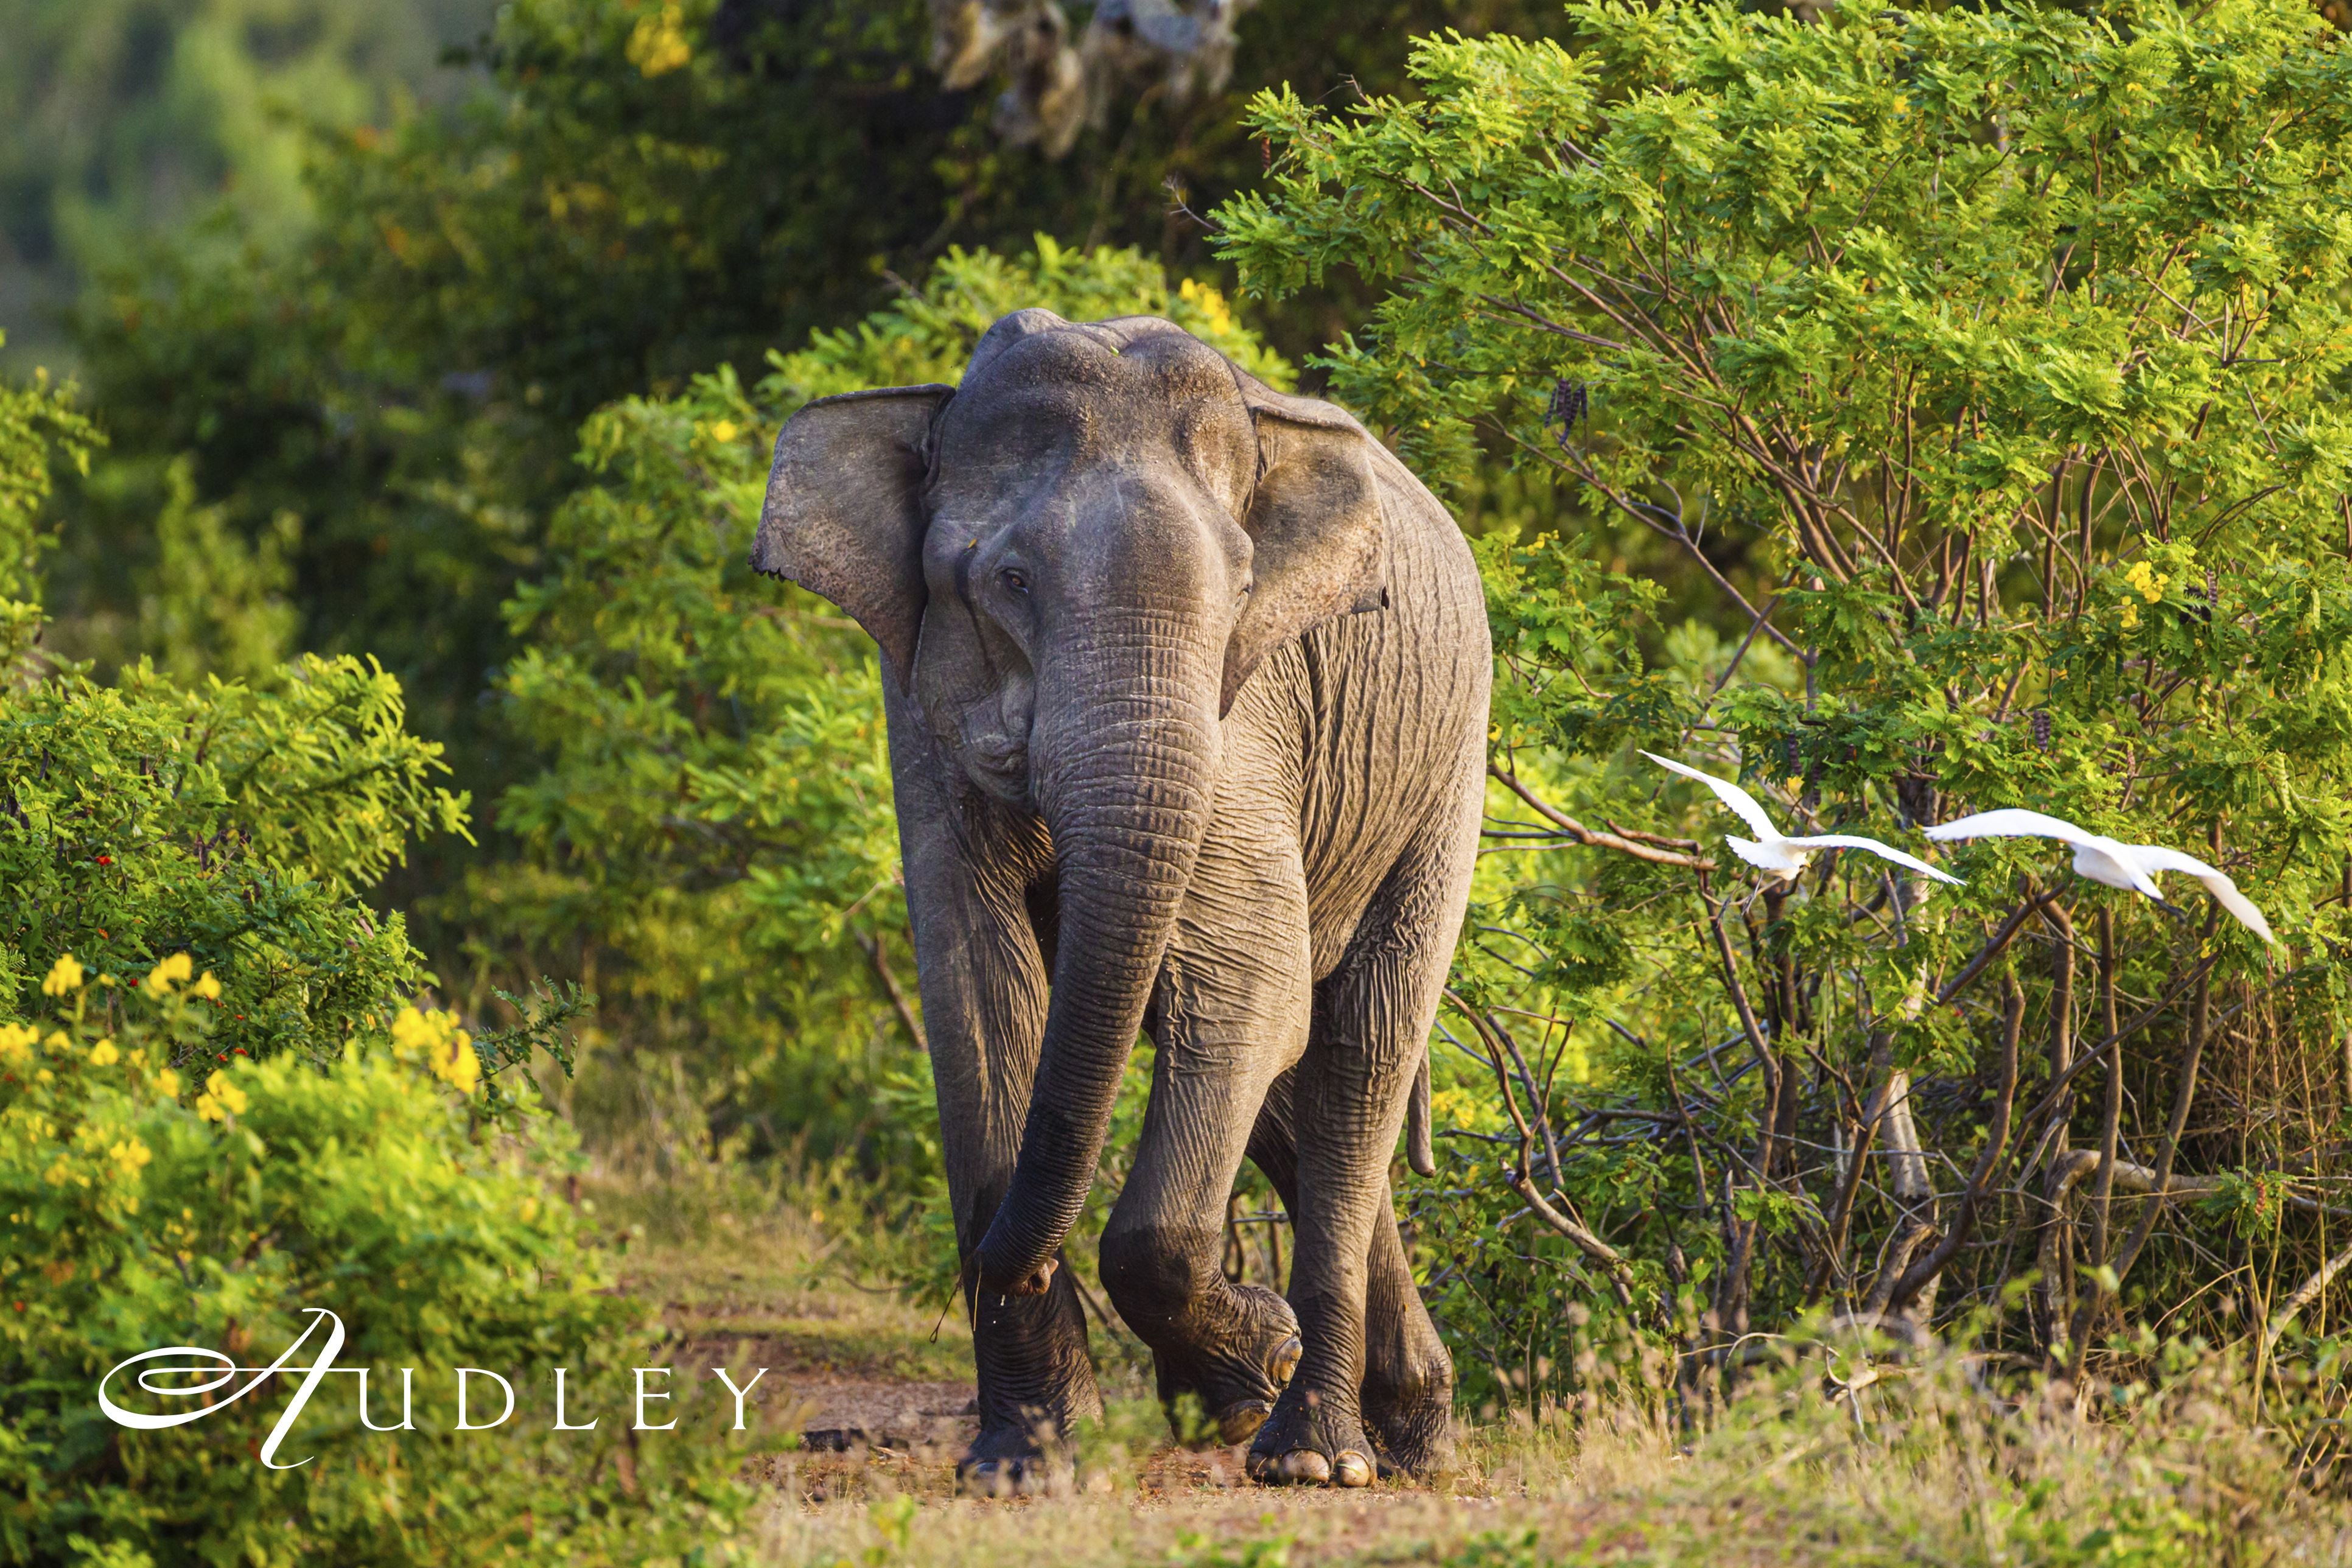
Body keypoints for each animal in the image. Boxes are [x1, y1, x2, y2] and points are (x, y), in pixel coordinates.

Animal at [752, 309, 1490, 1489]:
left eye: (1242, 585)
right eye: (1008, 580)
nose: (1006, 1268)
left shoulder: (1249, 706)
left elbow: (1248, 983)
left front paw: (1252, 1365)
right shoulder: (916, 700)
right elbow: (974, 989)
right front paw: (1027, 1463)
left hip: (1447, 762)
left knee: (1358, 1049)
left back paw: (1318, 1457)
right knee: (1293, 1094)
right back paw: (1398, 1431)